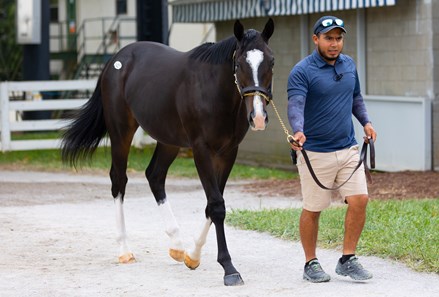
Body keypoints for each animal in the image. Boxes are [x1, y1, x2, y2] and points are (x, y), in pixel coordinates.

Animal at [61, 17, 276, 284]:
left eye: (271, 61)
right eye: (239, 63)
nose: (258, 117)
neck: (213, 90)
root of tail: (115, 60)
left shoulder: (228, 152)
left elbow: (213, 203)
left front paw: (192, 256)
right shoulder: (201, 150)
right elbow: (217, 205)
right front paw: (229, 268)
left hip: (169, 140)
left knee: (154, 175)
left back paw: (176, 245)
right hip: (121, 132)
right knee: (119, 180)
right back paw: (124, 250)